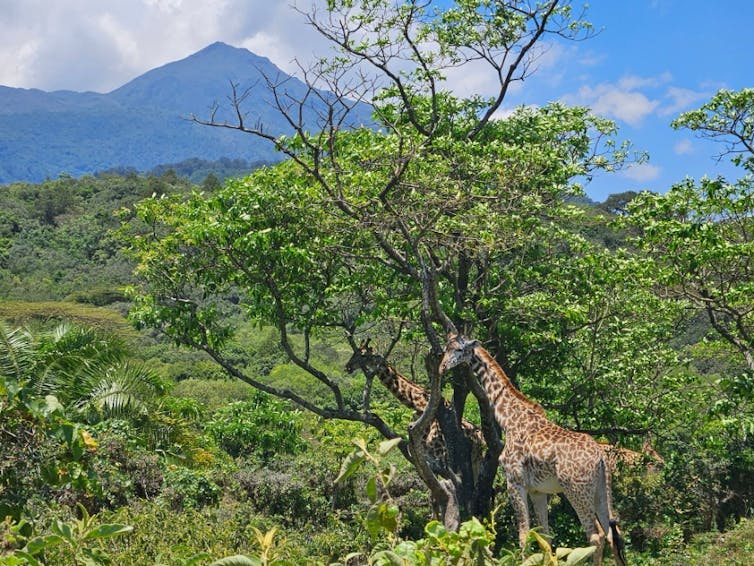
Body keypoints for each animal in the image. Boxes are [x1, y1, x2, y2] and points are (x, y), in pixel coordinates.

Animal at [345, 339, 485, 481]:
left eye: (363, 355)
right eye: (355, 352)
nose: (347, 366)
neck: (417, 404)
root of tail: (481, 438)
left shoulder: (438, 454)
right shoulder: (423, 453)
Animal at [439, 334, 626, 566]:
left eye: (459, 350)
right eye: (445, 348)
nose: (442, 367)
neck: (507, 418)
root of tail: (601, 458)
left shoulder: (514, 481)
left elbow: (524, 535)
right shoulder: (538, 490)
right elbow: (545, 537)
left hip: (576, 491)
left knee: (596, 536)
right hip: (601, 490)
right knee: (612, 535)